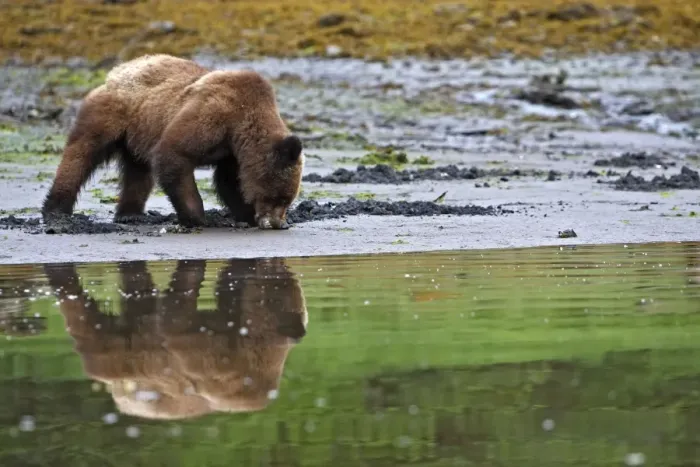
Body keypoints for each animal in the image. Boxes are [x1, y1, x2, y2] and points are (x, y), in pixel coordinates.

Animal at [41, 54, 304, 230]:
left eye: (287, 199)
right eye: (280, 197)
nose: (279, 223)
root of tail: (116, 71)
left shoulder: (232, 150)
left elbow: (229, 181)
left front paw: (245, 213)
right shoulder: (215, 115)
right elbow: (174, 154)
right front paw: (197, 217)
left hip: (140, 131)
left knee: (138, 172)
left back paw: (130, 214)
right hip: (112, 114)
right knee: (81, 154)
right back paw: (56, 210)